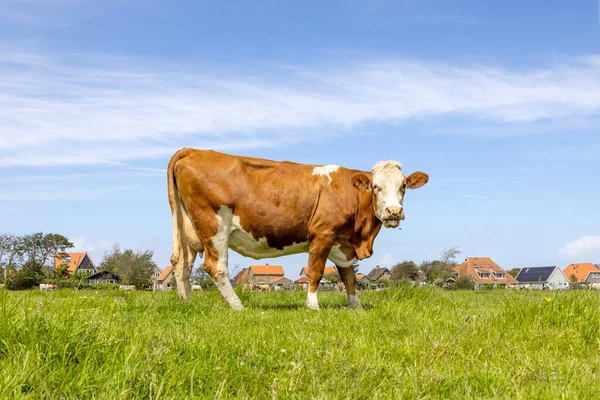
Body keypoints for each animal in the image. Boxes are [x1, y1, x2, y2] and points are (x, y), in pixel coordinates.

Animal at [168, 148, 426, 310]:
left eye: (403, 185)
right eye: (375, 186)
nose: (393, 211)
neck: (360, 237)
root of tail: (195, 151)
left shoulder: (343, 245)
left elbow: (349, 277)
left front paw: (356, 306)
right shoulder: (323, 234)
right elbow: (316, 272)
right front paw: (312, 306)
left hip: (187, 230)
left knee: (181, 265)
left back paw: (187, 303)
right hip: (214, 227)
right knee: (216, 268)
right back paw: (238, 307)